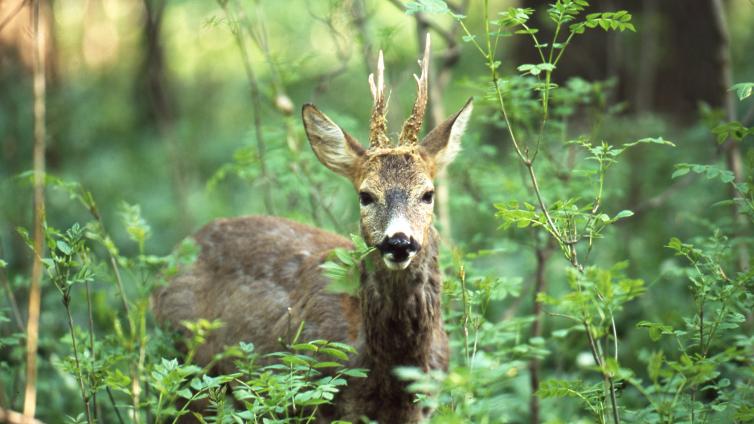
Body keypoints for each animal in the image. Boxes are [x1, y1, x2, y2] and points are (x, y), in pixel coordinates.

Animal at [152, 34, 470, 422]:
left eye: (428, 194)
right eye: (365, 195)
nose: (399, 242)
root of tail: (177, 253)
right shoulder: (316, 396)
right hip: (187, 365)